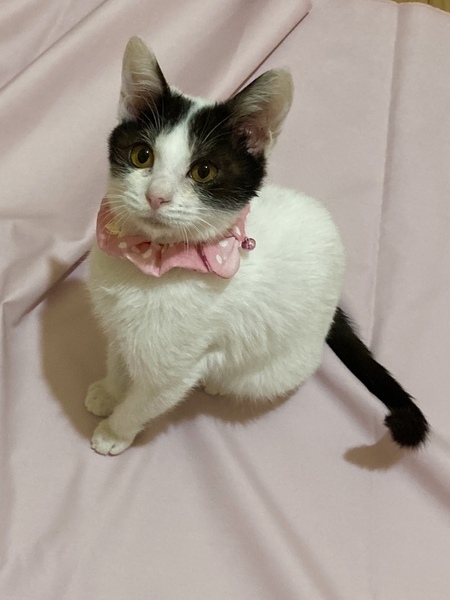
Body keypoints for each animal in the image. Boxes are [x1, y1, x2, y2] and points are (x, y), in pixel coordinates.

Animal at [85, 36, 429, 455]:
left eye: (204, 171)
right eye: (141, 155)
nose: (157, 196)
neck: (149, 262)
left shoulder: (177, 366)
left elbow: (149, 397)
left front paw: (115, 429)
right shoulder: (118, 327)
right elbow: (118, 354)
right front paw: (109, 391)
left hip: (275, 368)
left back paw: (217, 384)